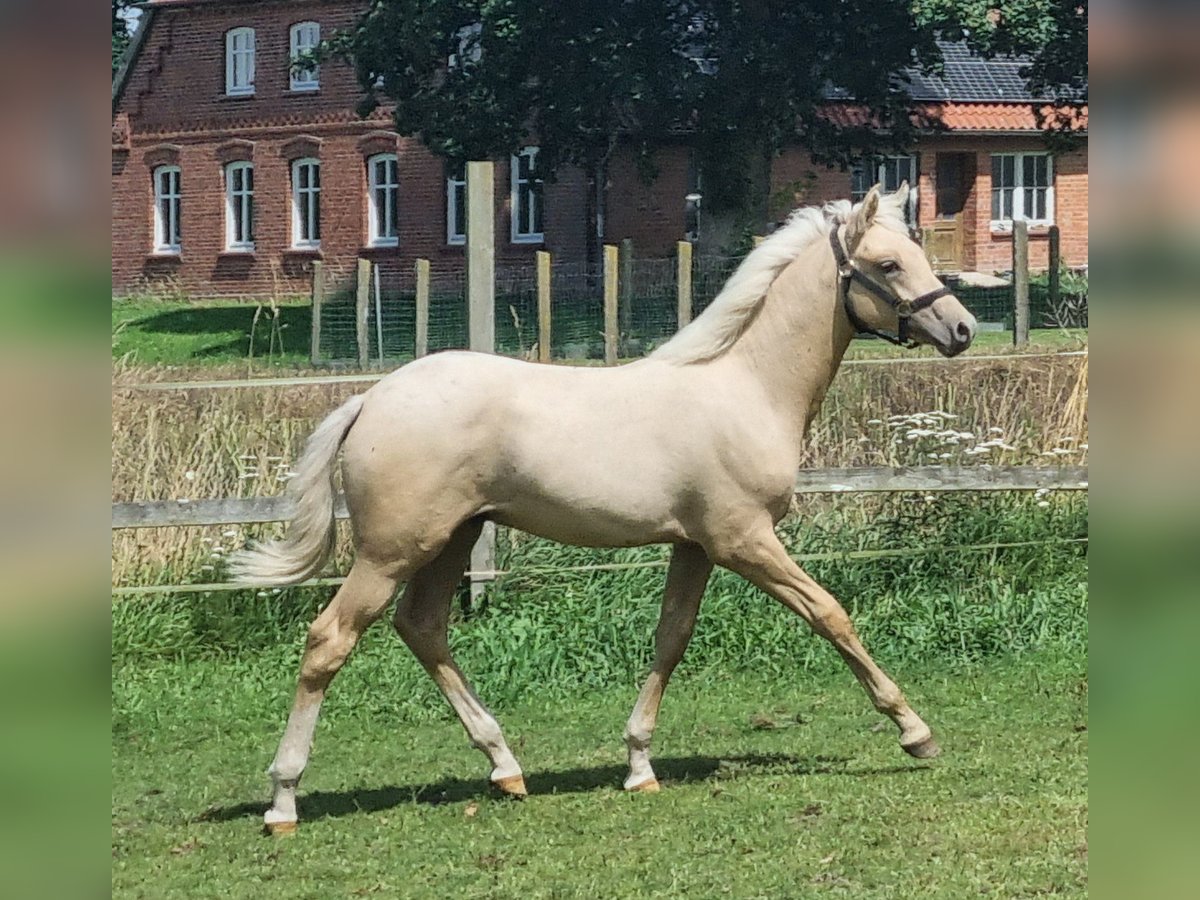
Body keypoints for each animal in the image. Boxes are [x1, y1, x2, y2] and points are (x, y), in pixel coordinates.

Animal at [231, 183, 978, 834]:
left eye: (916, 254)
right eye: (888, 264)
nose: (962, 328)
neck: (743, 387)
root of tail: (370, 400)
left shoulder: (694, 545)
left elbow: (671, 638)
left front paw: (640, 764)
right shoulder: (744, 540)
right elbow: (831, 614)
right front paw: (916, 732)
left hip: (452, 540)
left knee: (422, 629)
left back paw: (506, 767)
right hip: (391, 551)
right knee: (329, 640)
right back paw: (282, 802)